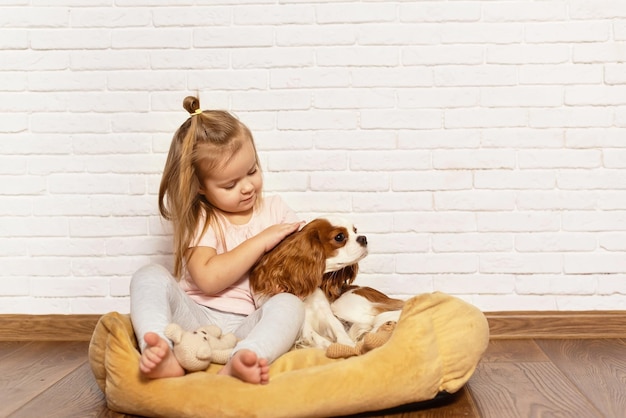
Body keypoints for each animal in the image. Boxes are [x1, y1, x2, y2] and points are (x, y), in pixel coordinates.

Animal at [246, 216, 402, 350]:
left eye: (355, 230)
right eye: (339, 237)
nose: (363, 238)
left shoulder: (326, 313)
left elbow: (338, 330)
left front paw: (349, 346)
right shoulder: (304, 328)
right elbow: (317, 338)